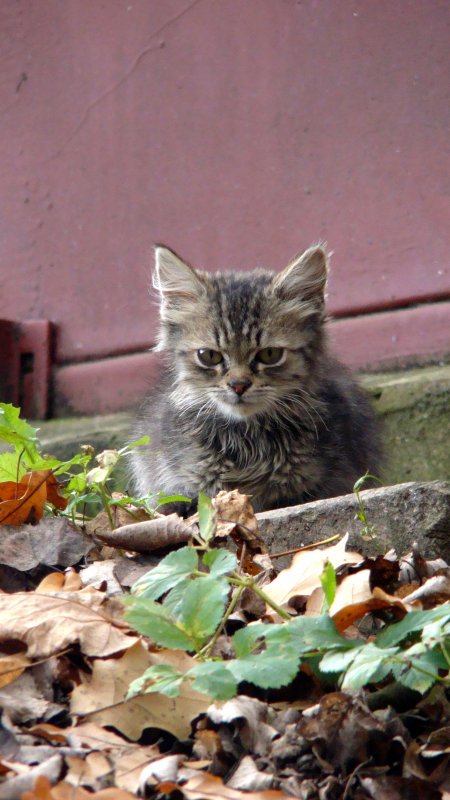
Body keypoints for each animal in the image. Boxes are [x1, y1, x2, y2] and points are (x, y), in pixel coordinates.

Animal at [128, 244, 382, 512]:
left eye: (270, 354)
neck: (247, 439)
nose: (239, 385)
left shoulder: (321, 483)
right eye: (209, 356)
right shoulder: (177, 484)